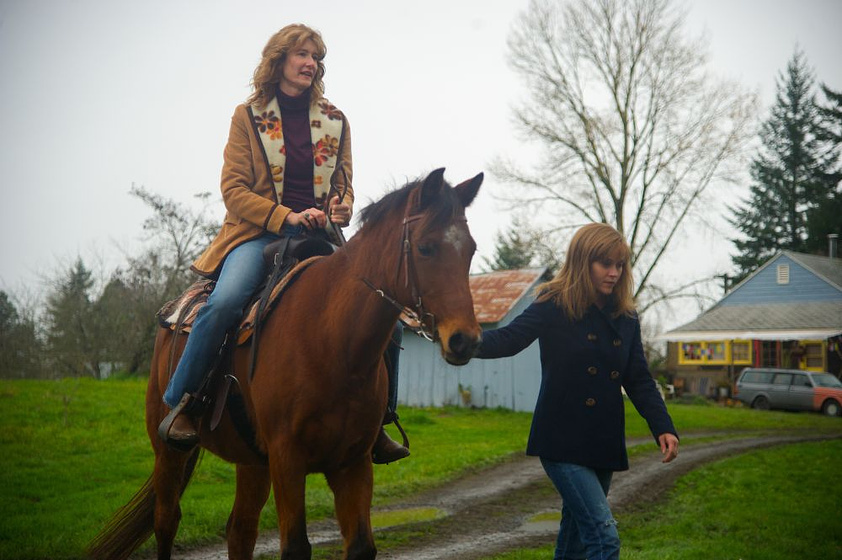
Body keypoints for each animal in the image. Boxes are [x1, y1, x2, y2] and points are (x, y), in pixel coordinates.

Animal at [88, 168, 482, 556]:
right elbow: (295, 546)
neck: (330, 340)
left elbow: (360, 545)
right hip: (169, 449)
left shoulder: (353, 462)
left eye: (472, 250)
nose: (465, 339)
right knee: (166, 521)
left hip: (252, 461)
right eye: (426, 247)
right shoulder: (287, 459)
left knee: (240, 530)